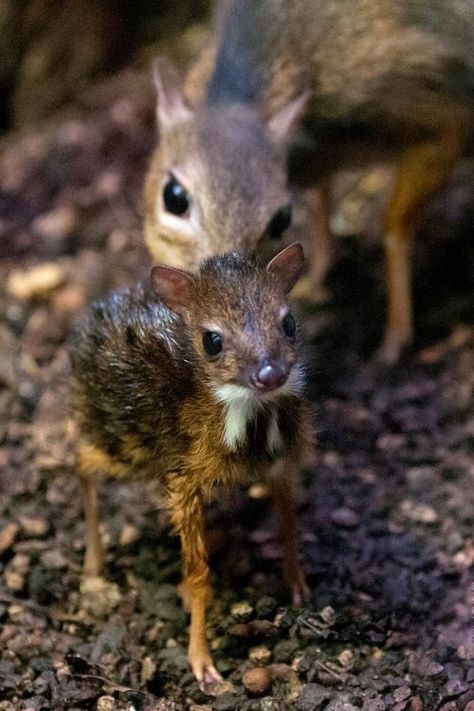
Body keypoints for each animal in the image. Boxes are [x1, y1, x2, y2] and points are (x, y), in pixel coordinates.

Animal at [71, 243, 314, 684]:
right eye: (212, 340)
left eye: (288, 323)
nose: (270, 373)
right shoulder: (184, 477)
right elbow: (199, 573)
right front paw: (201, 660)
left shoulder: (280, 464)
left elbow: (289, 526)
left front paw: (298, 585)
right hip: (125, 444)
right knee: (80, 458)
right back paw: (94, 567)